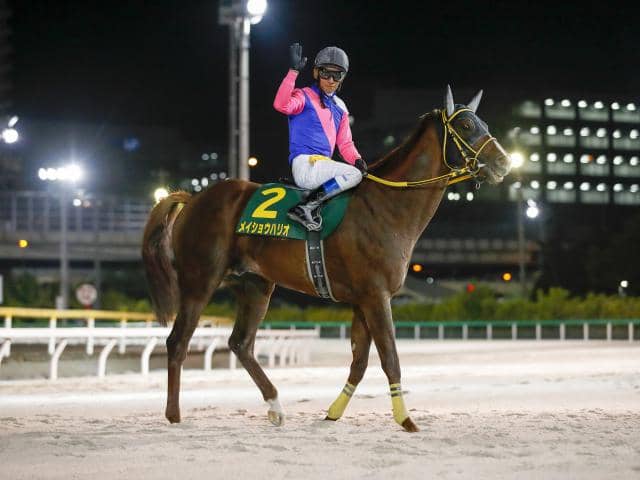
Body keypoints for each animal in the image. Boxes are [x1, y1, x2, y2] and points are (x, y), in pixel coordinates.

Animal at [142, 86, 511, 432]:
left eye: (483, 123)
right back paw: (174, 415)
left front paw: (333, 413)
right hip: (200, 281)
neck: (386, 205)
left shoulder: (364, 299)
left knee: (241, 344)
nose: (504, 162)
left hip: (256, 285)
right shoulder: (377, 296)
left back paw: (275, 406)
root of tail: (193, 198)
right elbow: (389, 358)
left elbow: (359, 362)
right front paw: (406, 419)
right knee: (177, 342)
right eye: (466, 125)